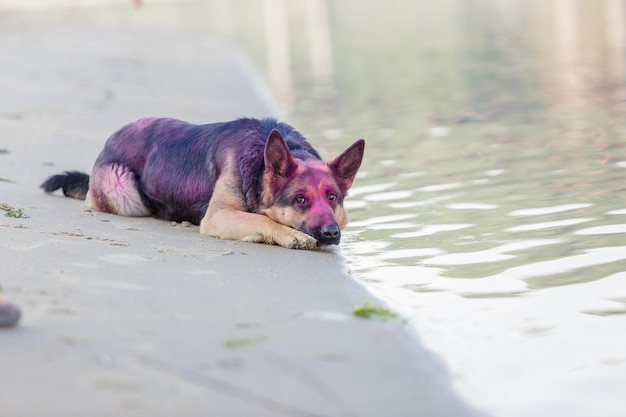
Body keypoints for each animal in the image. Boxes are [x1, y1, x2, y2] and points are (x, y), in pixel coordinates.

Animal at [41, 115, 364, 249]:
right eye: (300, 199)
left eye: (332, 198)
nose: (331, 233)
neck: (259, 161)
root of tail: (111, 138)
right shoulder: (217, 216)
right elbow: (261, 219)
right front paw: (289, 234)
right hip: (125, 192)